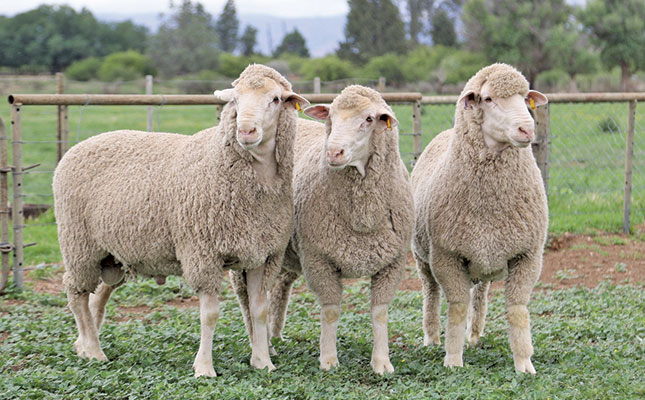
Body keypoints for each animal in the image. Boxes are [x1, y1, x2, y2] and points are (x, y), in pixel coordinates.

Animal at [53, 64, 309, 377]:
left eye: (275, 99)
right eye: (235, 100)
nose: (246, 131)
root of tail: (77, 147)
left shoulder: (263, 255)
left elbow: (259, 309)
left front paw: (263, 362)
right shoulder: (203, 254)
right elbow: (210, 314)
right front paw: (204, 368)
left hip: (113, 254)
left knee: (96, 295)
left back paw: (84, 344)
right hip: (79, 245)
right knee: (76, 293)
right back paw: (93, 351)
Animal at [261, 85, 414, 375]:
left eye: (369, 119)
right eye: (331, 116)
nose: (333, 152)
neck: (362, 217)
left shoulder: (393, 262)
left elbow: (380, 313)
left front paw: (382, 362)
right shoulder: (318, 259)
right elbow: (331, 311)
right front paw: (329, 360)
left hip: (287, 256)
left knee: (278, 288)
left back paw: (275, 336)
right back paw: (266, 345)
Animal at [411, 63, 549, 374]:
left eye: (525, 97)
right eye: (487, 99)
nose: (527, 129)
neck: (490, 202)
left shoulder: (528, 255)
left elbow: (517, 310)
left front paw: (524, 363)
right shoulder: (446, 257)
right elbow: (457, 307)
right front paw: (452, 359)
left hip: (486, 252)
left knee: (481, 294)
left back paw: (474, 336)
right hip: (422, 257)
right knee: (431, 294)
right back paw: (432, 338)